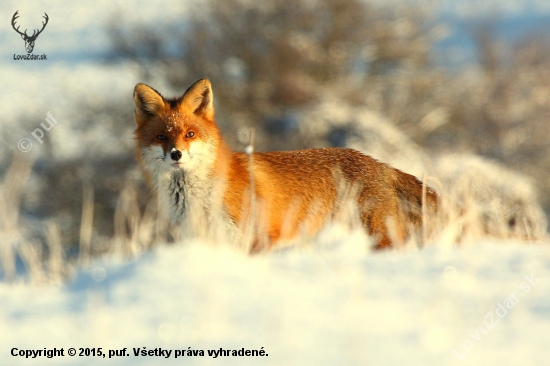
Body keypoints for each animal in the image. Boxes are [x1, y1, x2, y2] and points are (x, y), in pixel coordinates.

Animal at [134, 78, 440, 250]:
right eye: (161, 137)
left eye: (190, 134)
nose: (176, 154)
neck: (197, 198)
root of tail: (380, 164)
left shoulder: (258, 239)